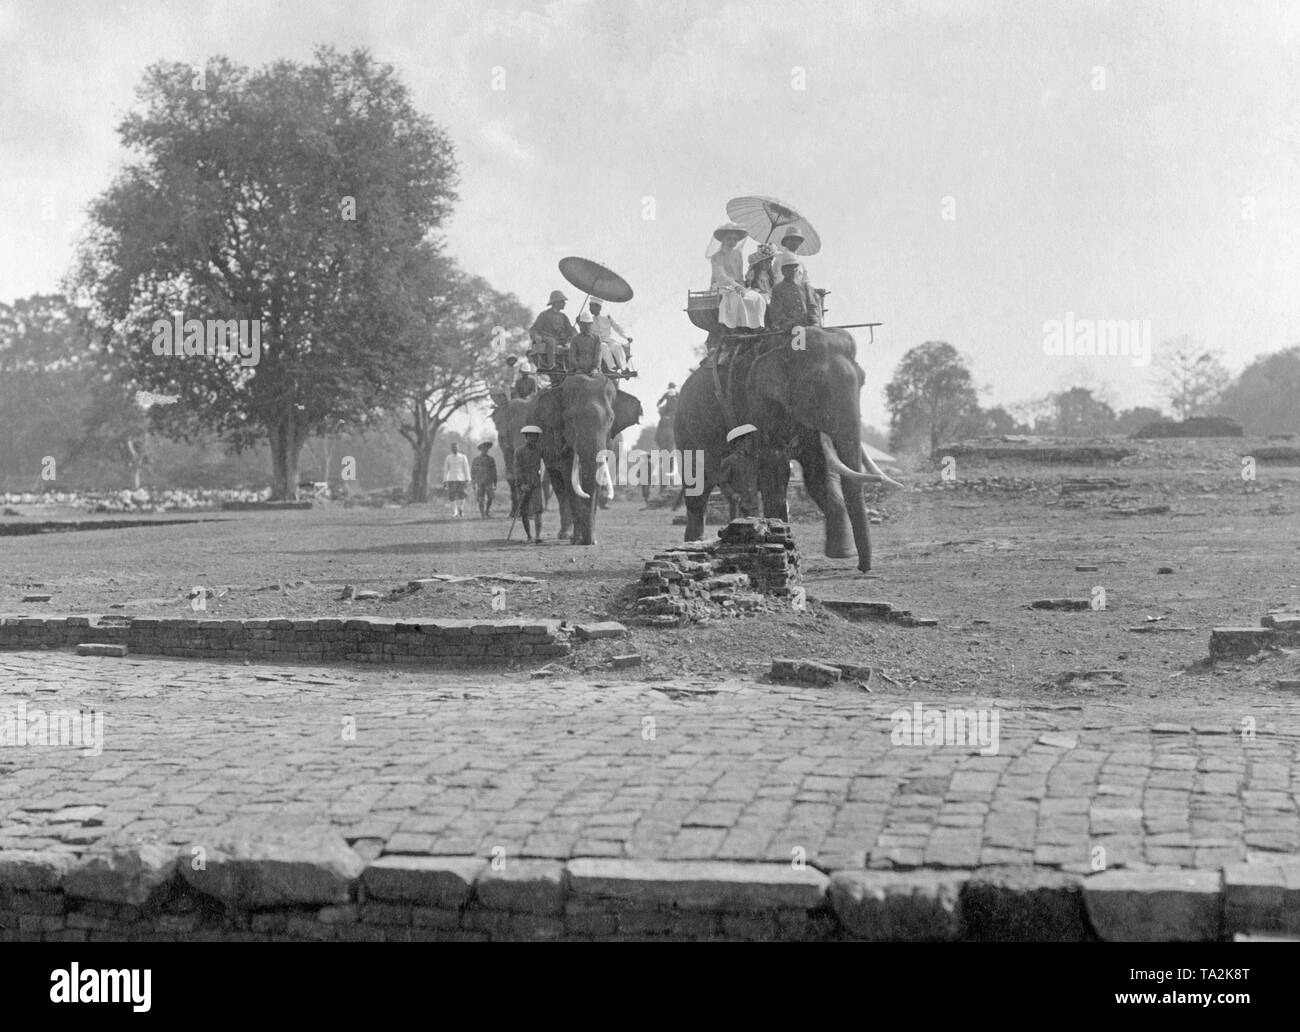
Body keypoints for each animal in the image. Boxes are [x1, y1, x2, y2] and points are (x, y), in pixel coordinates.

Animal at [530, 371, 642, 545]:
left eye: (611, 419)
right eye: (570, 419)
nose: (588, 540)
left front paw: (591, 540)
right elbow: (569, 479)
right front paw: (577, 539)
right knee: (559, 485)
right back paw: (565, 534)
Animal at [676, 326, 899, 571]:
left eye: (863, 382)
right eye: (818, 388)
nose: (862, 568)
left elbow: (817, 473)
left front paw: (841, 554)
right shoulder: (760, 404)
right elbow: (775, 470)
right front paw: (782, 542)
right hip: (686, 431)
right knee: (697, 491)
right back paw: (693, 545)